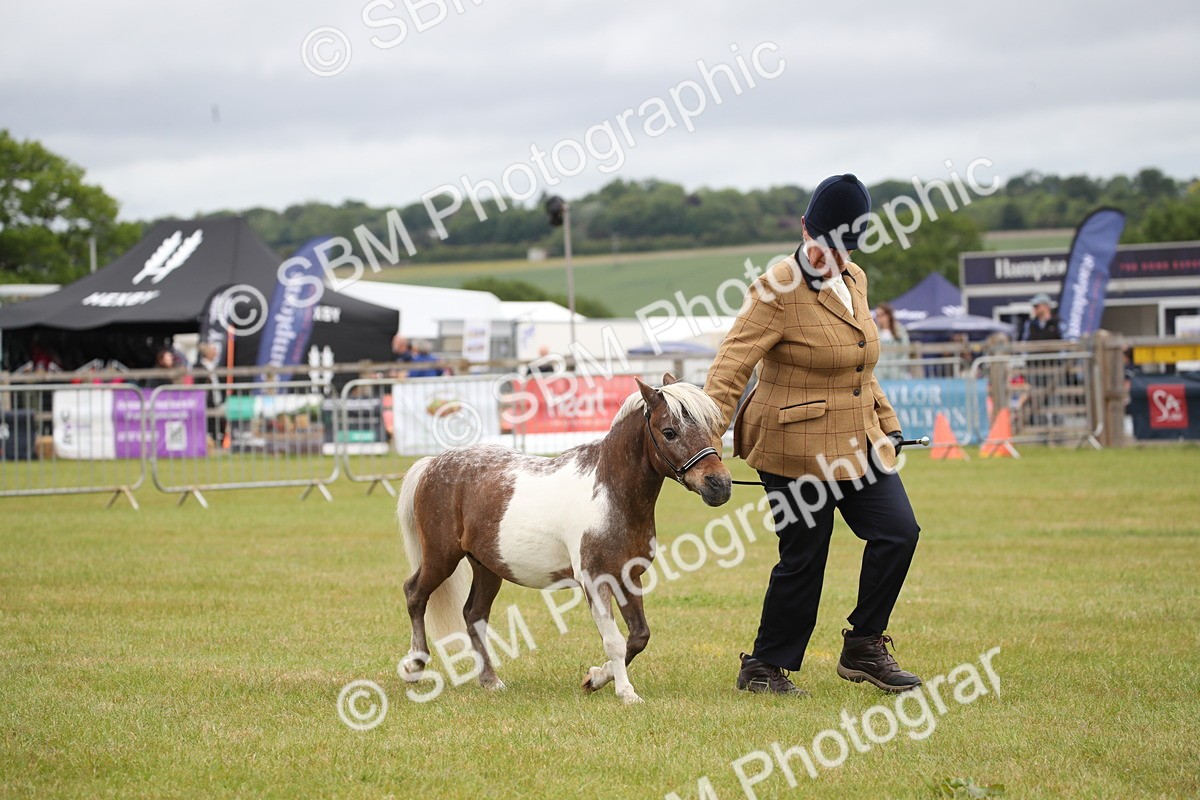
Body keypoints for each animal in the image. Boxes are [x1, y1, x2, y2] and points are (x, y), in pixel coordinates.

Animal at [396, 374, 732, 704]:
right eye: (669, 432)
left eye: (711, 427)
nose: (720, 485)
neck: (609, 494)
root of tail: (433, 462)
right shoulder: (596, 580)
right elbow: (614, 640)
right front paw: (626, 692)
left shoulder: (628, 577)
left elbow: (638, 637)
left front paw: (595, 678)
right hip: (441, 556)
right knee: (415, 593)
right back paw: (415, 665)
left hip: (487, 567)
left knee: (474, 615)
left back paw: (490, 680)